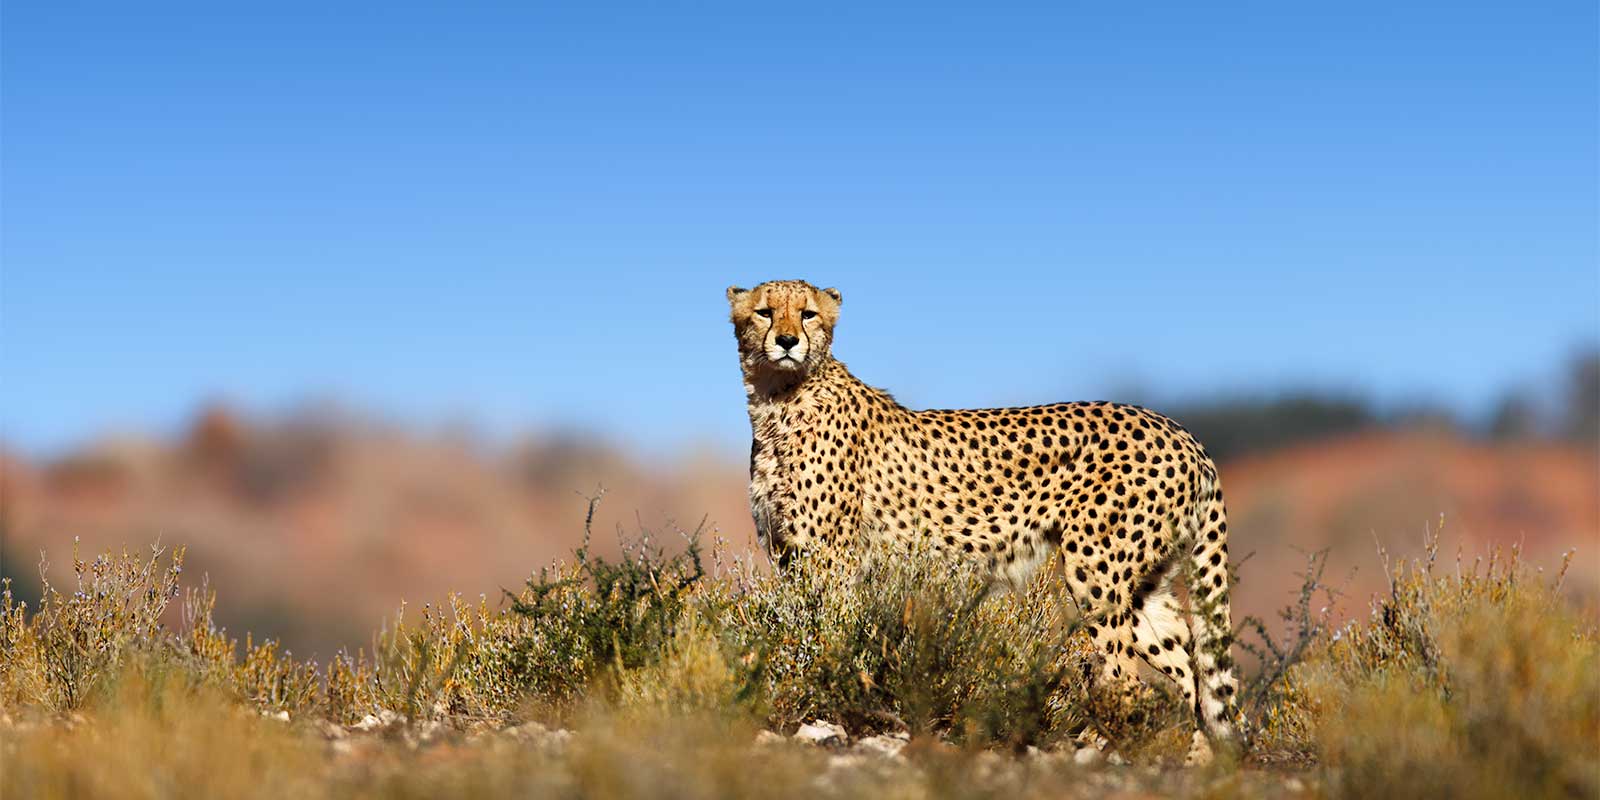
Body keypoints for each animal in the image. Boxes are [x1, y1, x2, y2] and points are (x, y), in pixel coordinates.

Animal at [727, 279, 1240, 763]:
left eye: (808, 313)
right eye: (765, 312)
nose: (788, 341)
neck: (779, 398)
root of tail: (1180, 432)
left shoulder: (830, 559)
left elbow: (827, 633)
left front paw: (824, 687)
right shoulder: (789, 556)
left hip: (1097, 568)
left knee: (1125, 671)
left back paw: (1101, 744)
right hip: (1145, 585)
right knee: (1189, 671)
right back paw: (1193, 759)